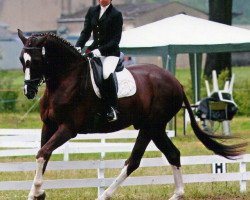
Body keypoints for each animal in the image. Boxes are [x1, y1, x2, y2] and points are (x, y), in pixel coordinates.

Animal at [17, 29, 246, 200]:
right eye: (21, 60)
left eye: (35, 60)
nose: (29, 91)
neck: (66, 80)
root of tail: (175, 82)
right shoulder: (48, 125)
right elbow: (44, 155)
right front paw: (36, 193)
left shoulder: (68, 128)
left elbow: (42, 153)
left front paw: (37, 192)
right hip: (155, 128)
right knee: (172, 154)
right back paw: (177, 194)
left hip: (150, 126)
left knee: (134, 161)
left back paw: (105, 195)